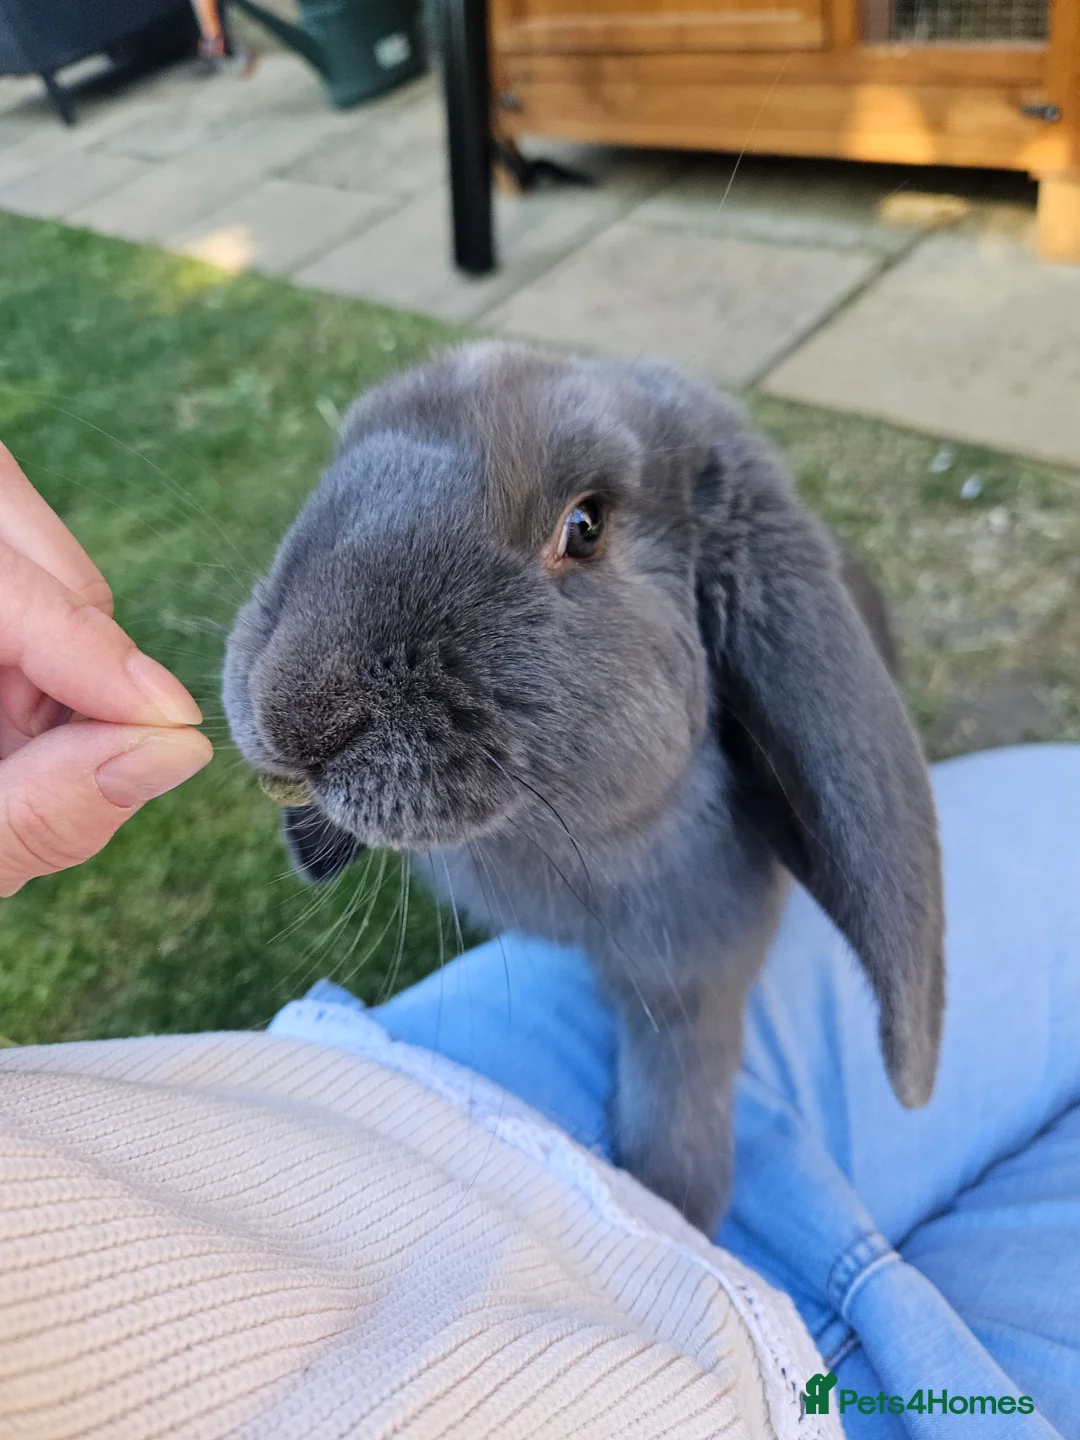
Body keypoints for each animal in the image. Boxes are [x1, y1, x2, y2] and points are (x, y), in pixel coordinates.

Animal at [223, 341, 944, 1235]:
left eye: (585, 526)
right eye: (344, 459)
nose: (293, 713)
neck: (552, 847)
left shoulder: (692, 981)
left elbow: (679, 1110)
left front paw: (675, 1210)